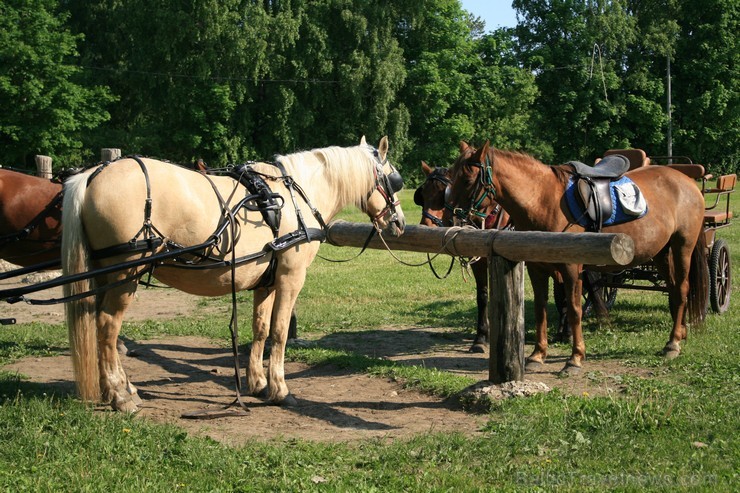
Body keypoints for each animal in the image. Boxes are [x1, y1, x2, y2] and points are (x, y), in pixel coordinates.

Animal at [62, 136, 408, 410]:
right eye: (394, 180)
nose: (399, 223)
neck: (297, 196)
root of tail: (92, 175)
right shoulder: (290, 277)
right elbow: (280, 331)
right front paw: (280, 389)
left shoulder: (266, 282)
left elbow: (261, 329)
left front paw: (257, 383)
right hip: (126, 274)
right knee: (107, 327)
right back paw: (120, 395)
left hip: (105, 275)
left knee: (98, 325)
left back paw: (120, 388)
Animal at [442, 139, 708, 372]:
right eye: (451, 175)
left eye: (467, 178)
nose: (449, 219)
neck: (542, 200)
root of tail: (687, 181)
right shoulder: (536, 268)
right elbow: (541, 309)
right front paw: (537, 355)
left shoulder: (571, 268)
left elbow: (573, 308)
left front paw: (575, 358)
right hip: (661, 253)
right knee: (673, 289)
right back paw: (680, 332)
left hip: (682, 247)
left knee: (682, 288)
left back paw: (673, 343)